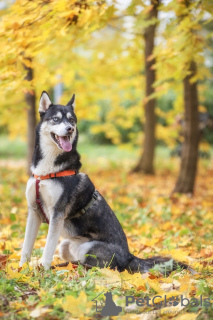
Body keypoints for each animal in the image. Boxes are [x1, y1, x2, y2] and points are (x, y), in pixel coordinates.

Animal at [20, 91, 186, 274]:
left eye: (72, 120)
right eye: (56, 119)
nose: (70, 129)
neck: (46, 172)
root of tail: (129, 257)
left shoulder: (57, 214)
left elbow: (48, 248)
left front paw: (43, 271)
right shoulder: (34, 211)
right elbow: (26, 246)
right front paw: (20, 269)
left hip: (88, 248)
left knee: (98, 267)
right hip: (66, 244)